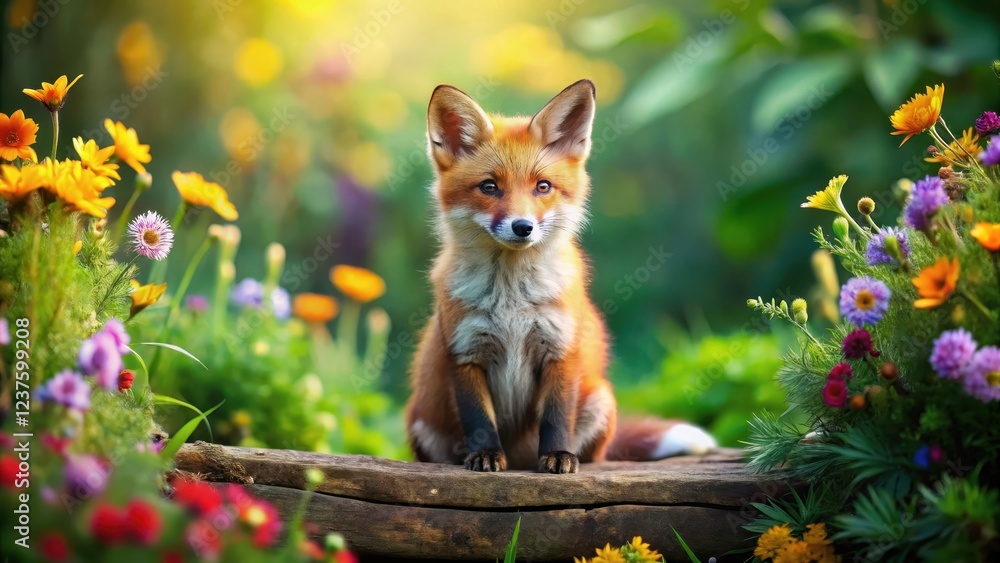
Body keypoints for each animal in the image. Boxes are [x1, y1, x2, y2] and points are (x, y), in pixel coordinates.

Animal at [405, 79, 716, 473]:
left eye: (543, 186)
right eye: (490, 187)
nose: (522, 227)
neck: (511, 300)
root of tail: (520, 458)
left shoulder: (560, 348)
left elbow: (556, 416)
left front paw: (558, 456)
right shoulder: (464, 352)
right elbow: (478, 419)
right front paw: (486, 454)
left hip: (600, 398)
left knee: (594, 452)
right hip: (422, 424)